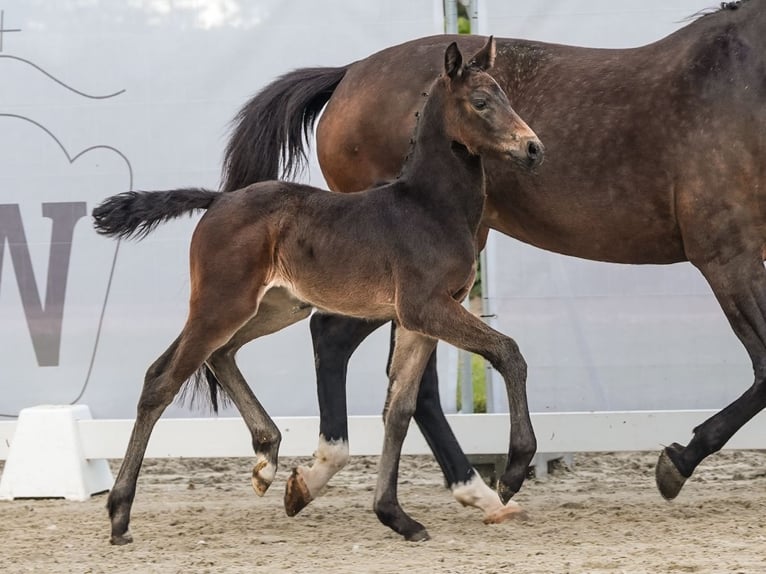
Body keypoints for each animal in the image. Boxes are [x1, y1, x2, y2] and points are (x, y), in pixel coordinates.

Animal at [91, 39, 544, 544]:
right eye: (481, 102)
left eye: (507, 96)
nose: (533, 148)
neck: (429, 208)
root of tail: (219, 198)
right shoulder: (425, 307)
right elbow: (508, 352)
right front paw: (512, 473)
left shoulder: (422, 319)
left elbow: (399, 409)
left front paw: (396, 516)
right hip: (222, 303)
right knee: (162, 380)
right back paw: (119, 515)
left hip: (272, 307)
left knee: (216, 355)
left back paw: (267, 459)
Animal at [219, 1, 764, 516]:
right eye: (482, 101)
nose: (534, 148)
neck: (737, 81)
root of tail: (349, 72)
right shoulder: (726, 257)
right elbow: (764, 366)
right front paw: (677, 462)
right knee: (378, 362)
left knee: (364, 357)